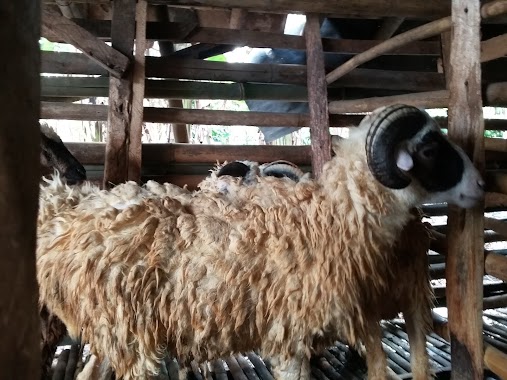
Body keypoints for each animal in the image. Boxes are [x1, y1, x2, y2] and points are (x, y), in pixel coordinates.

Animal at [36, 105, 484, 380]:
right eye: (430, 149)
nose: (481, 184)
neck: (331, 219)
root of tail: (64, 225)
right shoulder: (290, 337)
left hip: (113, 335)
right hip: (131, 335)